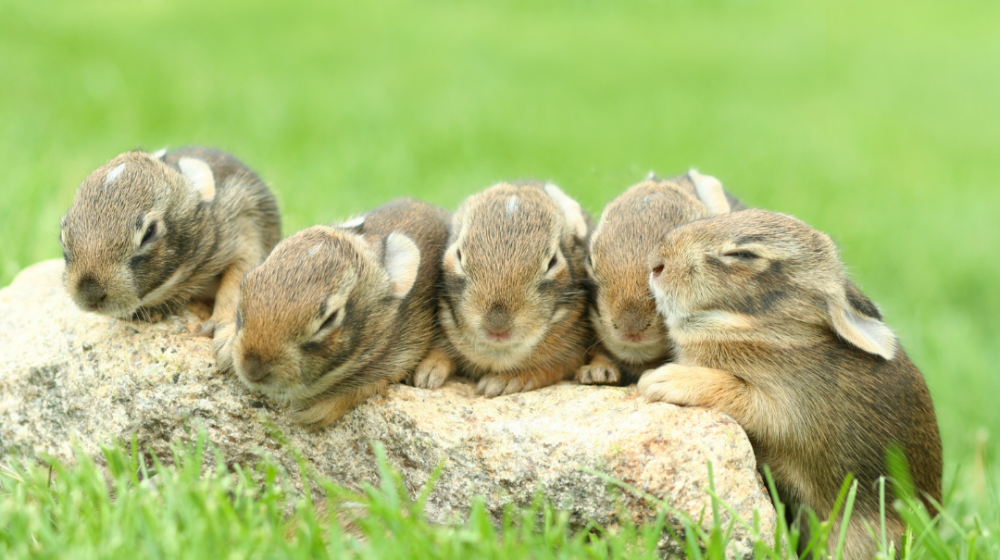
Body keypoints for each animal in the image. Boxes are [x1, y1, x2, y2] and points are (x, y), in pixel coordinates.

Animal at [60, 147, 280, 340]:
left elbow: (236, 282)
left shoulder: (245, 230)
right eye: (63, 234)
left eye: (149, 233)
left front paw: (220, 330)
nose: (90, 295)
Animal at [410, 182, 588, 396]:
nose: (497, 324)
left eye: (552, 262)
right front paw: (427, 375)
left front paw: (500, 383)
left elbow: (546, 369)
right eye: (459, 255)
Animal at [644, 210, 940, 560]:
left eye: (743, 254)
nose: (656, 263)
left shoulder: (791, 407)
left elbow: (738, 394)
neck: (773, 332)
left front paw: (661, 380)